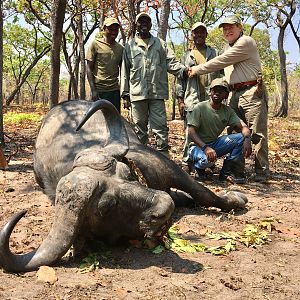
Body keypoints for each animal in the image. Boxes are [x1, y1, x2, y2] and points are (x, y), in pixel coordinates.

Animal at [0, 100, 247, 272]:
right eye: (107, 206)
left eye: (127, 173)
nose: (164, 207)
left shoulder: (166, 166)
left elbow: (204, 193)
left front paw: (236, 198)